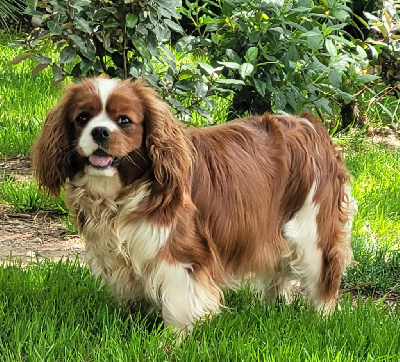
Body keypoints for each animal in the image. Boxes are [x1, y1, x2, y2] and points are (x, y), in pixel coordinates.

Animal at [31, 78, 356, 338]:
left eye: (124, 121)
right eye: (82, 118)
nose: (99, 131)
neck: (122, 193)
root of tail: (309, 123)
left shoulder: (180, 253)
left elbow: (179, 304)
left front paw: (170, 342)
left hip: (312, 230)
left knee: (325, 276)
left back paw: (321, 319)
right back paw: (268, 308)